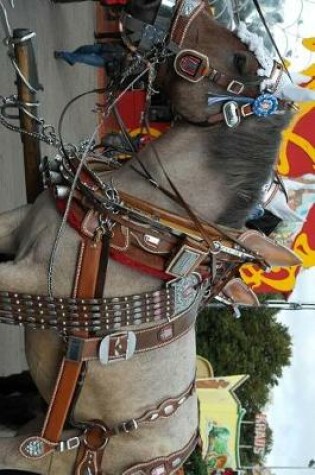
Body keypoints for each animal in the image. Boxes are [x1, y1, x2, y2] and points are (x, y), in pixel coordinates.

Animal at [0, 0, 308, 474]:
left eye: (239, 58)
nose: (145, 9)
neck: (142, 216)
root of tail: (179, 452)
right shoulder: (16, 229)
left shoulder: (35, 283)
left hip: (44, 452)